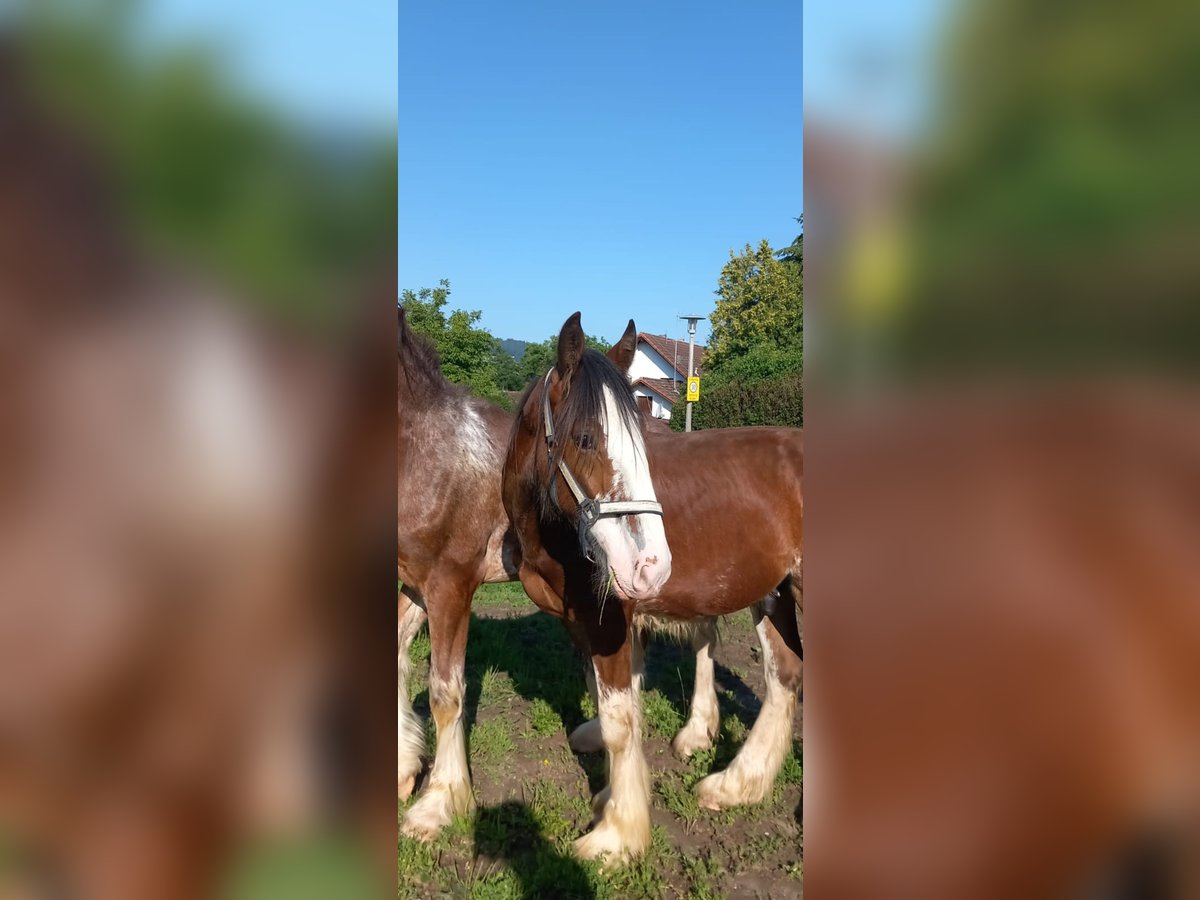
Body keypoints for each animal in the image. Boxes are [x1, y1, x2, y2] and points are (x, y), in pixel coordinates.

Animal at [398, 309, 724, 840]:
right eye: (586, 439)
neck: (429, 448)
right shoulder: (412, 582)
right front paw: (406, 768)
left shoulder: (450, 586)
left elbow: (446, 692)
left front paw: (439, 803)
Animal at [501, 314, 801, 864]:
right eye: (585, 439)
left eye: (642, 442)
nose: (652, 566)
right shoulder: (586, 624)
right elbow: (613, 705)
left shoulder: (609, 621)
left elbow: (620, 721)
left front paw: (616, 833)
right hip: (774, 591)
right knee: (784, 674)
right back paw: (737, 784)